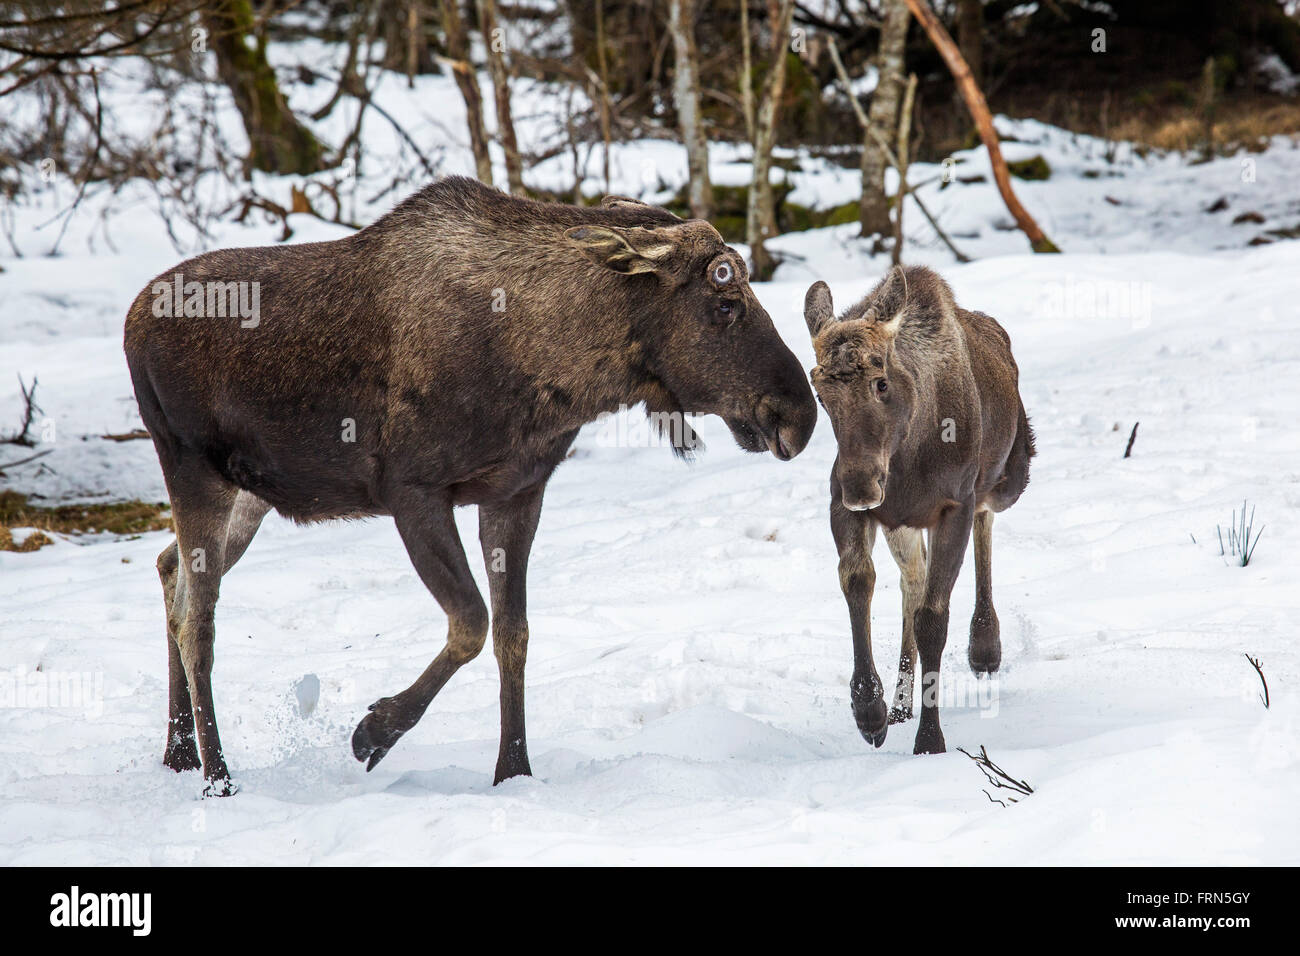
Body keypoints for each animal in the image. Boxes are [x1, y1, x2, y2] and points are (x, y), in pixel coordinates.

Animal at [800, 267, 1034, 754]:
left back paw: (985, 645)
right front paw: (870, 709)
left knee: (986, 518)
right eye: (820, 393)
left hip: (1010, 479)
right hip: (901, 523)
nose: (860, 485)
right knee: (913, 578)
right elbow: (859, 581)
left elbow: (933, 620)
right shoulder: (848, 505)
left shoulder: (953, 506)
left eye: (881, 381)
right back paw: (901, 704)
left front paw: (930, 740)